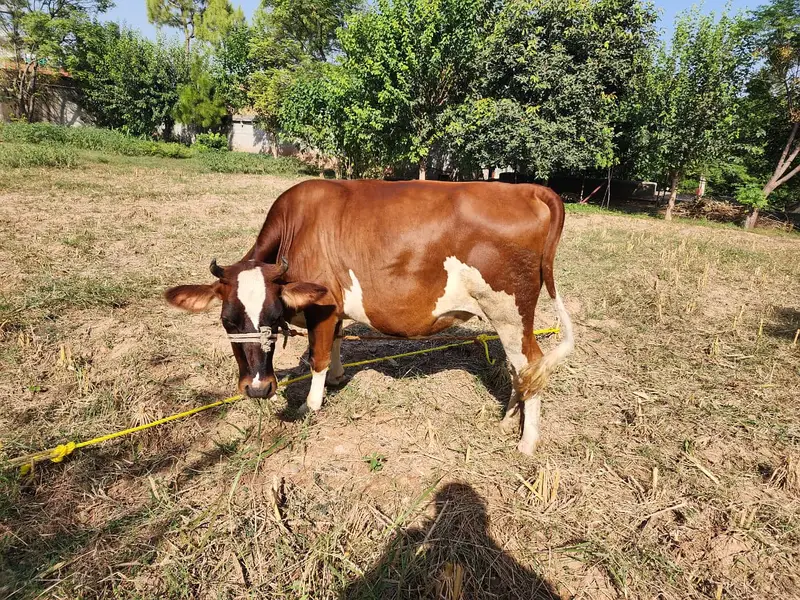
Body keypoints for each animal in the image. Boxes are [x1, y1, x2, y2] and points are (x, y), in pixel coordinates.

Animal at [165, 180, 574, 454]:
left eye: (274, 312)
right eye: (228, 321)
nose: (258, 388)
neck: (297, 227)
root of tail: (528, 190)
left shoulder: (323, 304)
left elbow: (317, 356)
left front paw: (311, 405)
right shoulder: (334, 310)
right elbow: (336, 342)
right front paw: (337, 377)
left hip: (510, 311)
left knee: (531, 365)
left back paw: (527, 441)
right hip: (509, 318)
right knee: (519, 369)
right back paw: (508, 420)